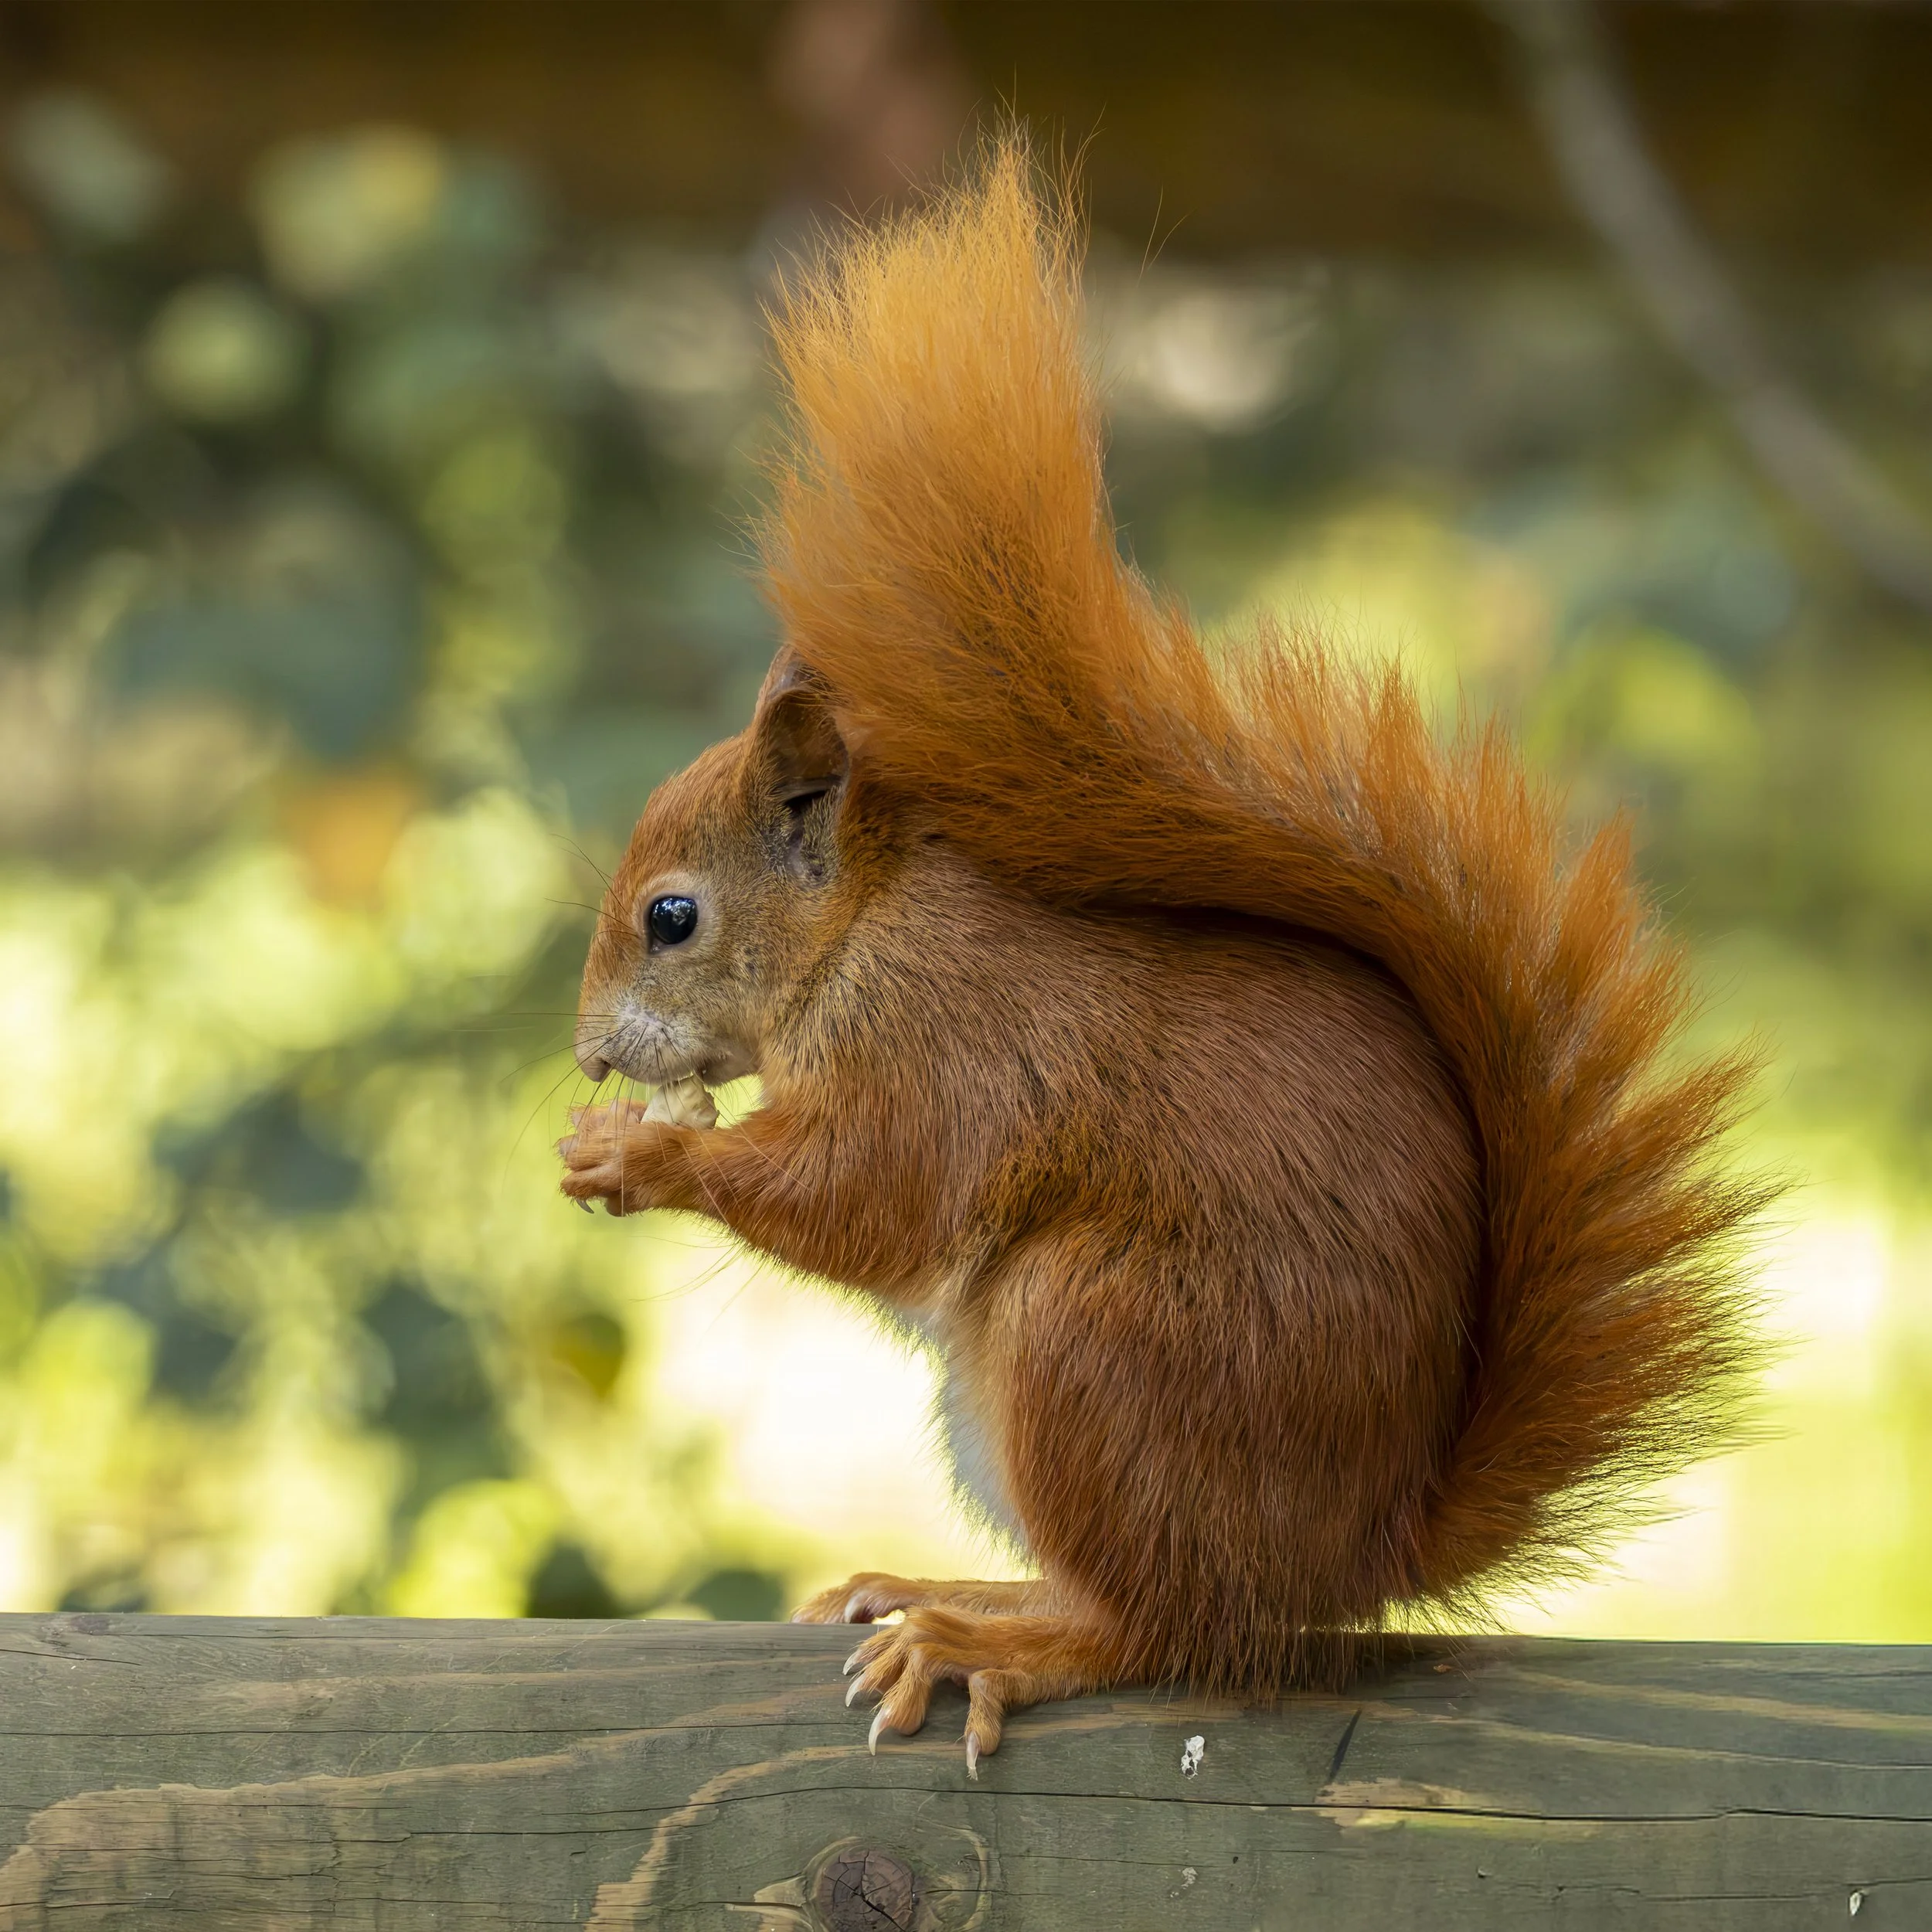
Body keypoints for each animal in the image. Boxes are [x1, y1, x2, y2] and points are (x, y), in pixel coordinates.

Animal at [560, 140, 1768, 1772]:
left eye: (672, 918)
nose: (588, 1050)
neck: (865, 926)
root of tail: (1361, 1547)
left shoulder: (946, 1037)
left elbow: (870, 1195)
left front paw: (643, 1154)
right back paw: (944, 1588)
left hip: (1098, 1344)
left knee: (1165, 1629)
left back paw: (993, 1641)